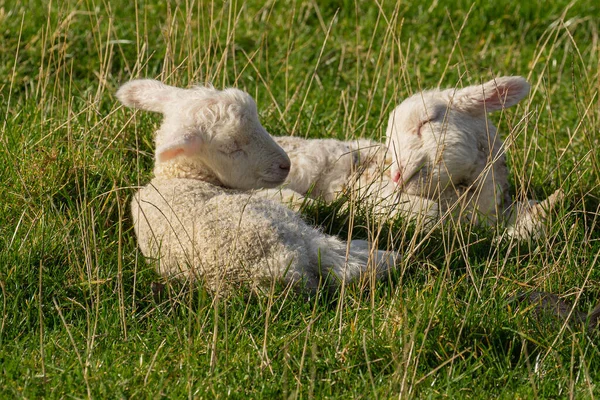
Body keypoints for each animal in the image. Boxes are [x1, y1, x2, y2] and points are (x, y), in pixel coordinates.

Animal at [118, 79, 398, 296]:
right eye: (231, 147)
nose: (285, 165)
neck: (181, 175)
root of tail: (276, 269)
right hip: (291, 229)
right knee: (343, 260)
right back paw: (389, 256)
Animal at [272, 77, 564, 241]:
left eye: (426, 121)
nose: (396, 175)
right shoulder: (378, 193)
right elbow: (429, 215)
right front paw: (348, 210)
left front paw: (545, 207)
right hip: (305, 164)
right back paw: (302, 203)